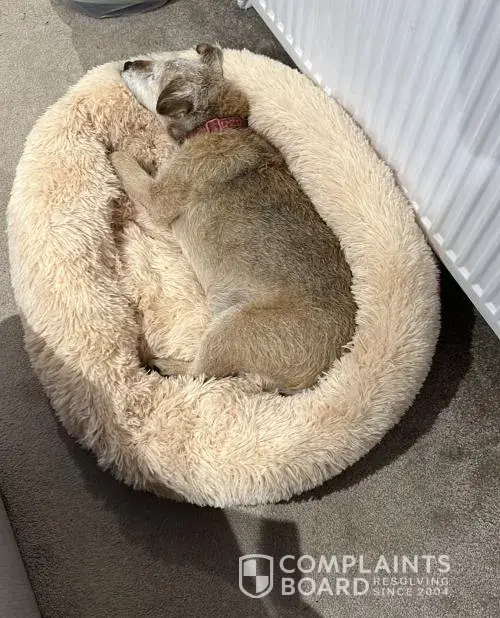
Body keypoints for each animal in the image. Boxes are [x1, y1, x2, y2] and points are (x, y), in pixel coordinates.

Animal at [111, 44, 356, 392]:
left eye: (155, 74)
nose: (128, 63)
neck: (217, 122)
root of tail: (318, 375)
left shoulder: (157, 197)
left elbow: (125, 162)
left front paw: (112, 148)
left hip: (229, 329)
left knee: (200, 374)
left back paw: (161, 363)